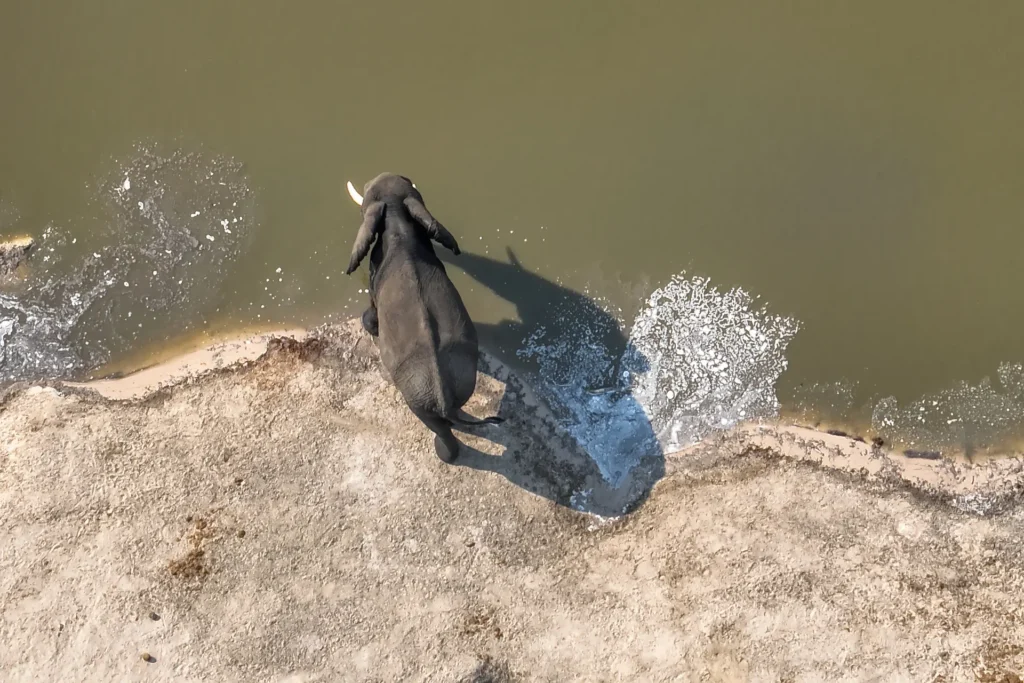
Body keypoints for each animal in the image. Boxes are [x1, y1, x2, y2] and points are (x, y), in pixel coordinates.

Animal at [343, 172, 503, 463]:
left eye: (369, 191)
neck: (398, 224)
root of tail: (442, 395)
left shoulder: (374, 276)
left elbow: (371, 313)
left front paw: (368, 325)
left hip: (416, 399)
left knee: (437, 428)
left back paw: (443, 453)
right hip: (463, 380)